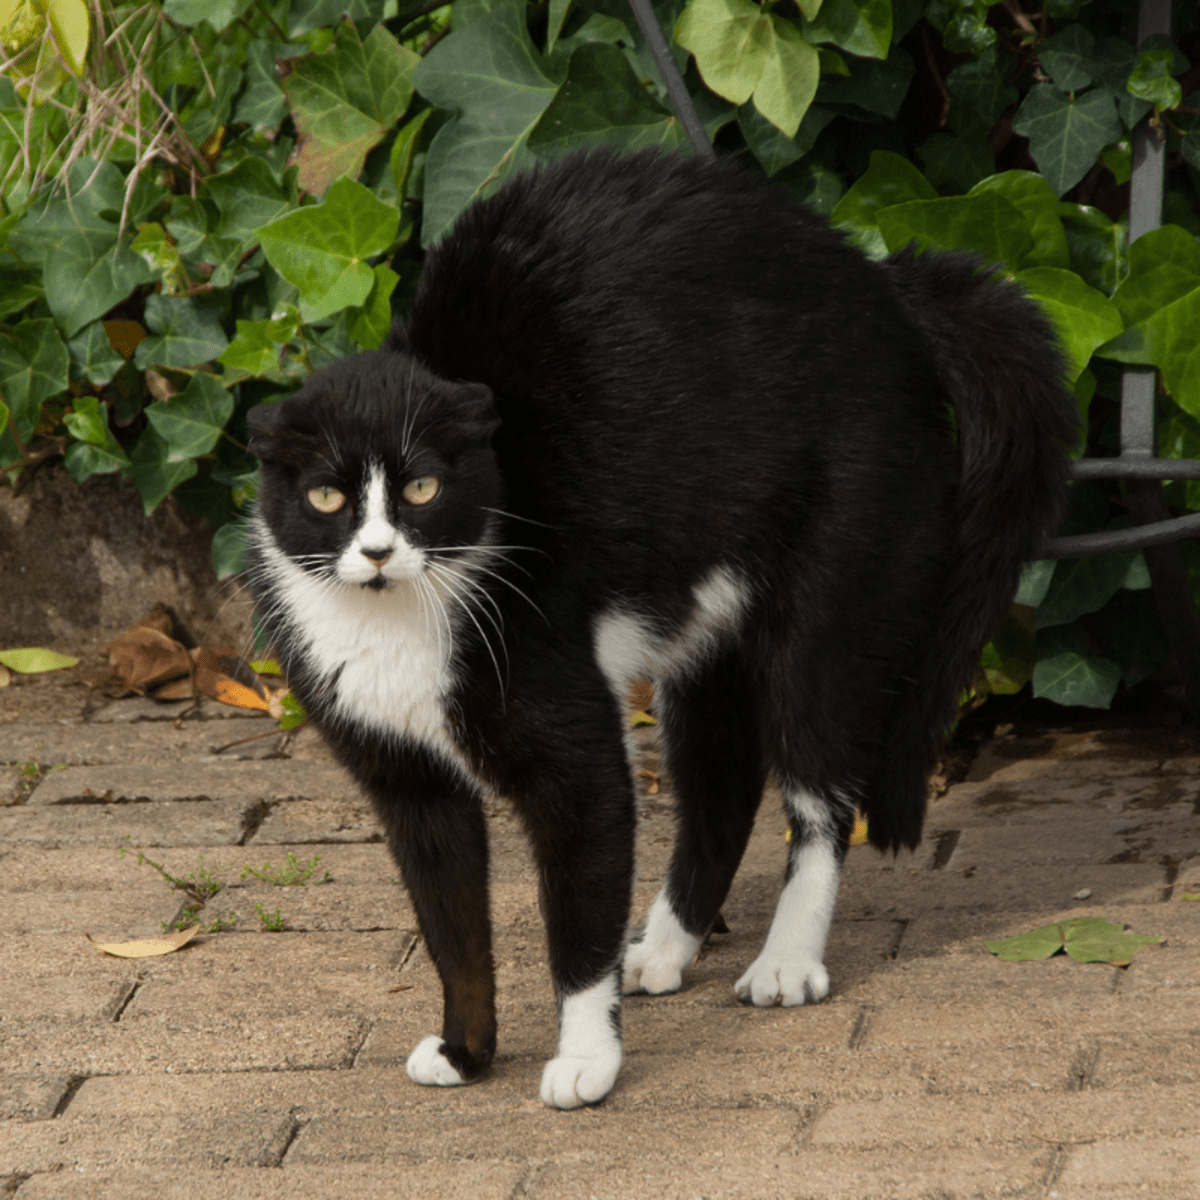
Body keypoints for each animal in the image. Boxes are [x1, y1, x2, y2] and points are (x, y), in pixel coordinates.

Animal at [243, 147, 1080, 1104]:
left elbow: (578, 908)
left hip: (837, 580)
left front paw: (585, 1061)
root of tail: (883, 285)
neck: (395, 627)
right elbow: (451, 922)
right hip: (706, 620)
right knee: (721, 780)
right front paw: (466, 1050)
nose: (379, 551)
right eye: (325, 497)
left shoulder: (568, 737)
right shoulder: (406, 781)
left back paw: (786, 961)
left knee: (819, 780)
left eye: (422, 487)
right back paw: (666, 946)